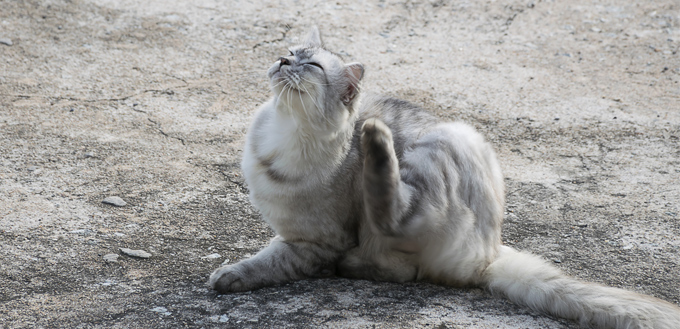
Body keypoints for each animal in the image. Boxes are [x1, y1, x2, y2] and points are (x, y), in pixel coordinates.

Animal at [211, 28, 680, 328]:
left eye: (308, 64)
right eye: (289, 50)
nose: (282, 60)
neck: (281, 136)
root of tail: (490, 254)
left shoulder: (315, 243)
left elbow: (267, 262)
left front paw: (228, 277)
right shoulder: (298, 235)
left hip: (444, 143)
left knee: (400, 249)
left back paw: (376, 142)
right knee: (403, 267)